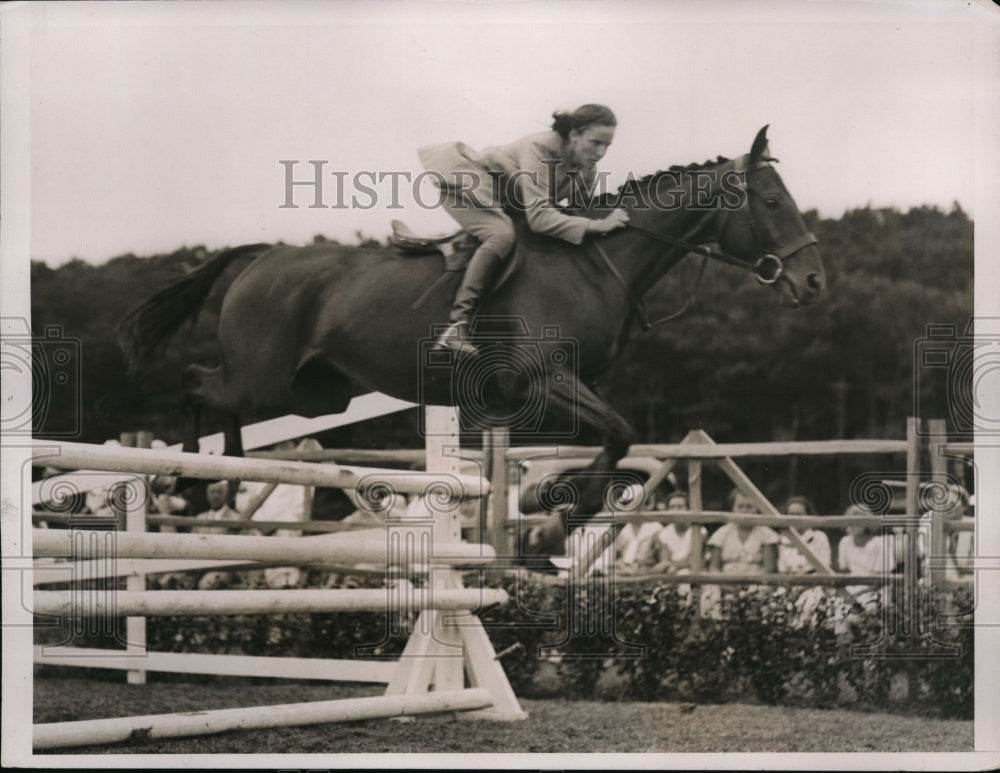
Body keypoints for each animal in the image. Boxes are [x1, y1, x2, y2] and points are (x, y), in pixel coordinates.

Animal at [117, 125, 824, 524]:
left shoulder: (551, 394)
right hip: (263, 376)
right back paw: (193, 475)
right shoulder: (540, 380)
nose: (814, 283)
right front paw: (561, 516)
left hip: (316, 391)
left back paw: (228, 474)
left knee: (219, 394)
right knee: (196, 381)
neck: (597, 262)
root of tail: (264, 256)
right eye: (770, 201)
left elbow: (605, 445)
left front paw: (554, 506)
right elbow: (619, 433)